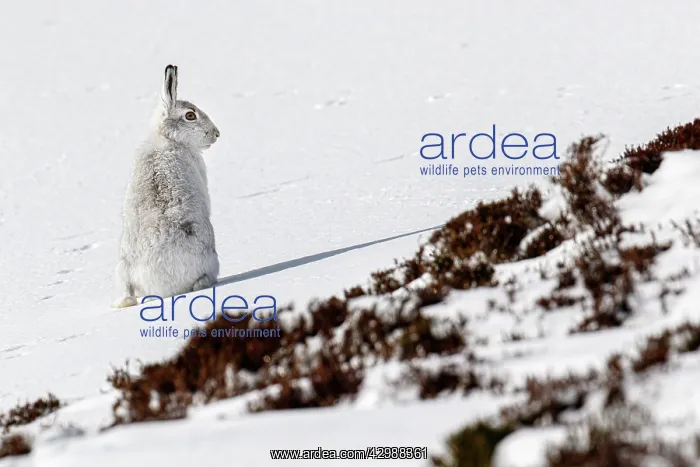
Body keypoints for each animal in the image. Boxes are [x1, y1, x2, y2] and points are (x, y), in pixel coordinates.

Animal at [112, 64, 220, 308]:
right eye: (190, 115)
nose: (216, 134)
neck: (168, 137)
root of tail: (162, 286)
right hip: (211, 258)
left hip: (123, 266)